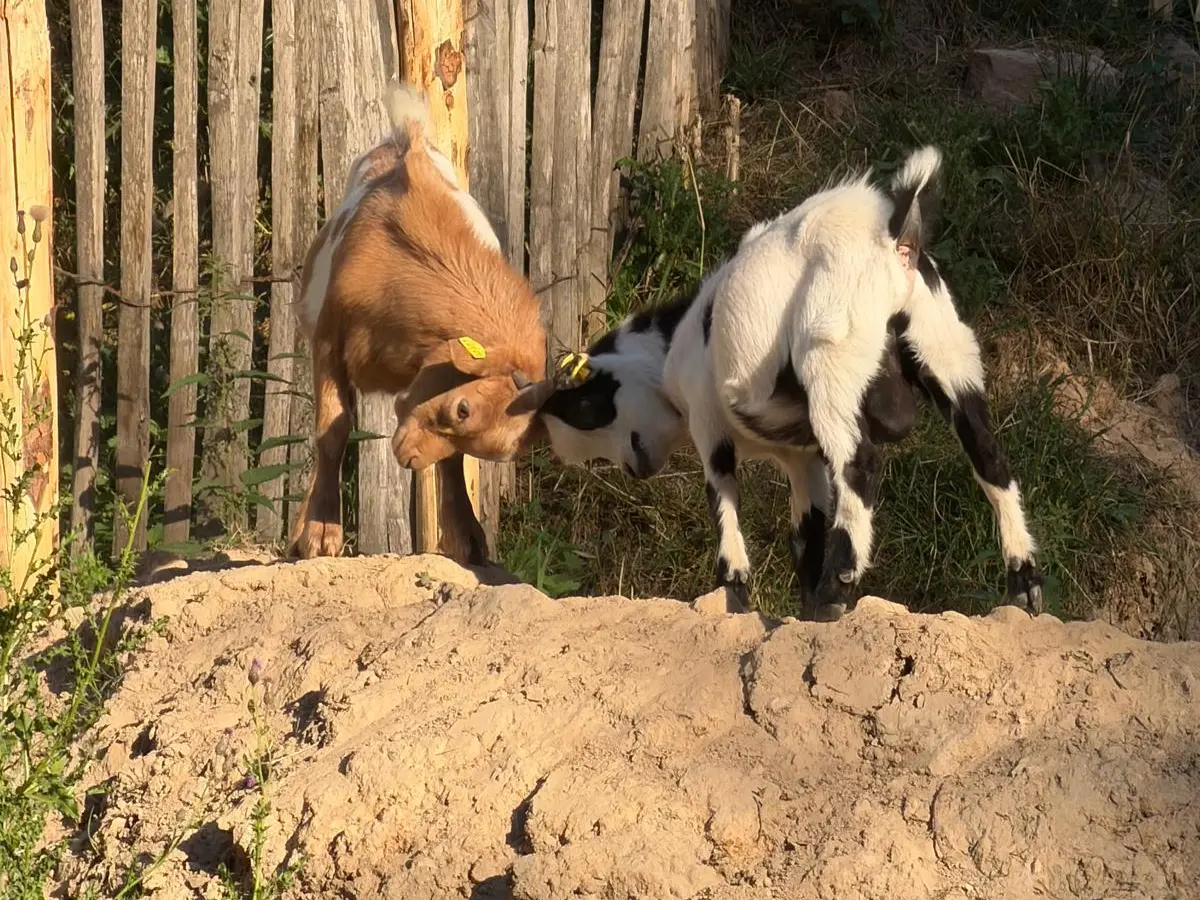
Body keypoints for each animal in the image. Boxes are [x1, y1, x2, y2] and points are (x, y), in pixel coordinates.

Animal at [289, 79, 559, 565]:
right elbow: (332, 431)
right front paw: (320, 534)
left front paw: (467, 538)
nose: (411, 459)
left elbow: (451, 464)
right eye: (462, 408)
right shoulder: (327, 341)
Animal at [538, 146, 1044, 621]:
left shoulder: (708, 422)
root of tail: (890, 235)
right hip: (945, 348)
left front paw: (739, 598)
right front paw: (801, 609)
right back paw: (1024, 581)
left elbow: (725, 514)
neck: (670, 347)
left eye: (587, 408)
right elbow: (806, 537)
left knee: (861, 464)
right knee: (989, 457)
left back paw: (836, 594)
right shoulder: (800, 459)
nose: (633, 470)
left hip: (832, 359)